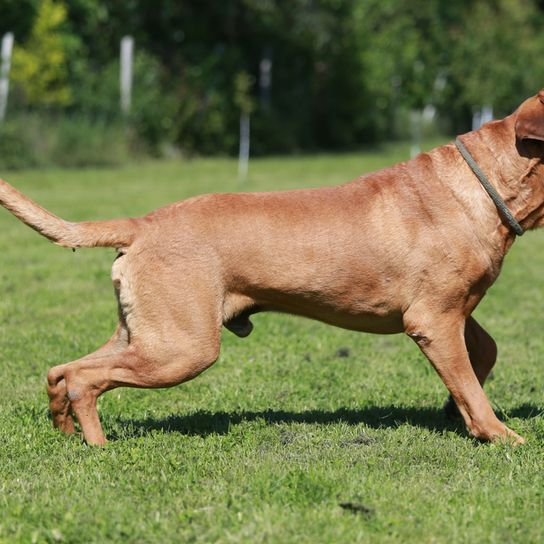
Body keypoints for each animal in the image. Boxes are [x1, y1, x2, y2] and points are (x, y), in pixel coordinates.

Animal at [1, 90, 544, 446]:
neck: (487, 186)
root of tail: (144, 224)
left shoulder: (455, 313)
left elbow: (482, 357)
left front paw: (457, 411)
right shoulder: (434, 318)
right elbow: (471, 382)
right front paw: (499, 434)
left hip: (148, 333)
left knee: (62, 370)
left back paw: (63, 427)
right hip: (183, 348)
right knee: (85, 378)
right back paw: (96, 443)